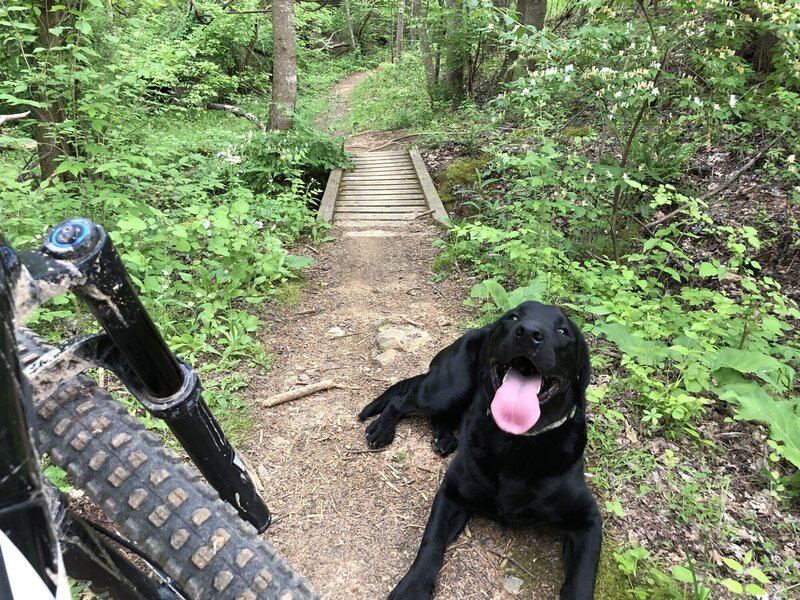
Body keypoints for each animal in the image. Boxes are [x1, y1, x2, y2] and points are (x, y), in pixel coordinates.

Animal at [358, 302, 600, 596]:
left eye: (563, 331)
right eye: (513, 316)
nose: (529, 332)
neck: (516, 442)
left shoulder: (588, 518)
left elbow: (582, 578)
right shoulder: (451, 493)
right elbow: (431, 544)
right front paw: (412, 588)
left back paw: (444, 437)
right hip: (448, 389)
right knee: (400, 400)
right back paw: (383, 429)